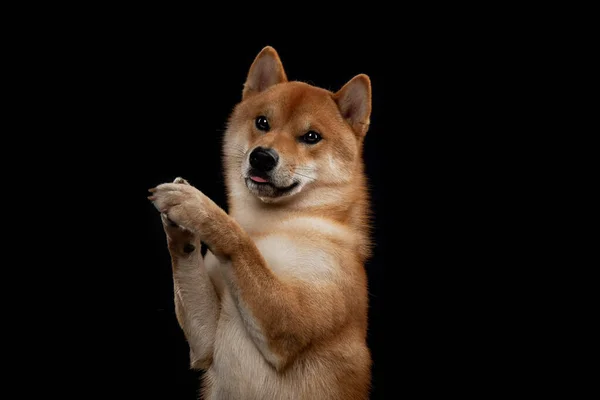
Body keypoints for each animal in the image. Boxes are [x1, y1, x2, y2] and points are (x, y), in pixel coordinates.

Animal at [149, 45, 376, 398]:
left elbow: (239, 243)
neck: (271, 226)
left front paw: (198, 206)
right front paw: (180, 229)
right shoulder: (204, 343)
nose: (262, 157)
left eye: (311, 136)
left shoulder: (290, 325)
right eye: (262, 122)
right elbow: (190, 275)